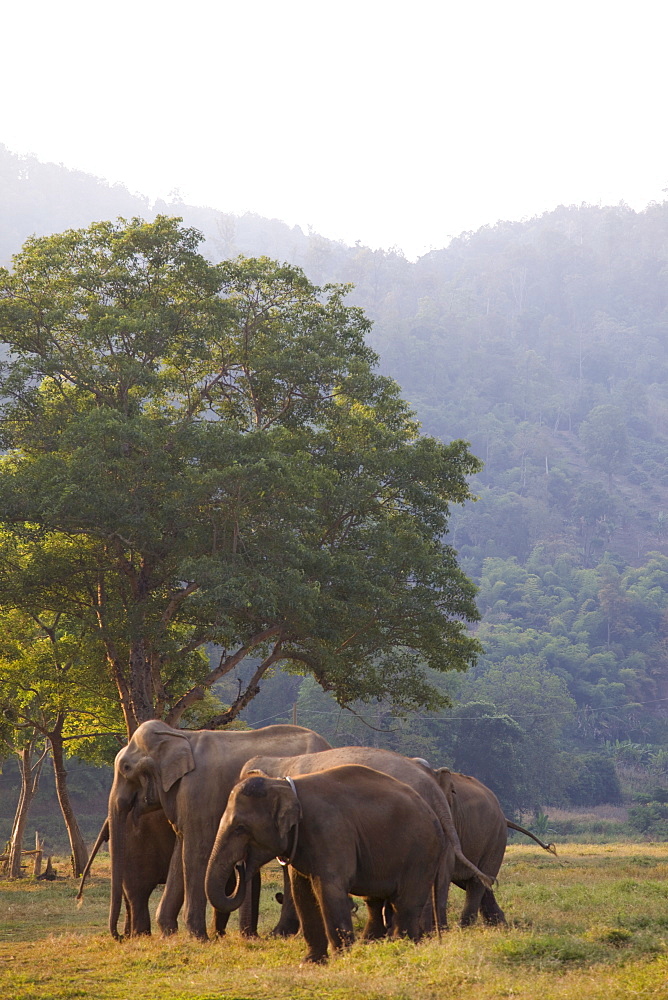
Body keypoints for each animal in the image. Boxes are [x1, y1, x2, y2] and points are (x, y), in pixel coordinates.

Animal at [106, 720, 332, 936]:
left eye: (125, 768)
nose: (118, 936)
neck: (179, 736)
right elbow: (180, 850)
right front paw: (169, 933)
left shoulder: (198, 792)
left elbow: (196, 850)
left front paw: (197, 936)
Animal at [206, 764, 446, 960]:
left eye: (240, 828)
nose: (240, 866)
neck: (284, 785)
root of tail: (435, 815)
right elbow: (302, 892)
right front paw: (311, 961)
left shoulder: (329, 830)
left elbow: (329, 888)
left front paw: (343, 958)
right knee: (380, 901)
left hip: (421, 853)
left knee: (406, 903)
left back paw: (400, 947)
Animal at [430, 768, 556, 924]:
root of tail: (504, 816)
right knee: (479, 883)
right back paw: (500, 925)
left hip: (496, 839)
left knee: (478, 882)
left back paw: (469, 926)